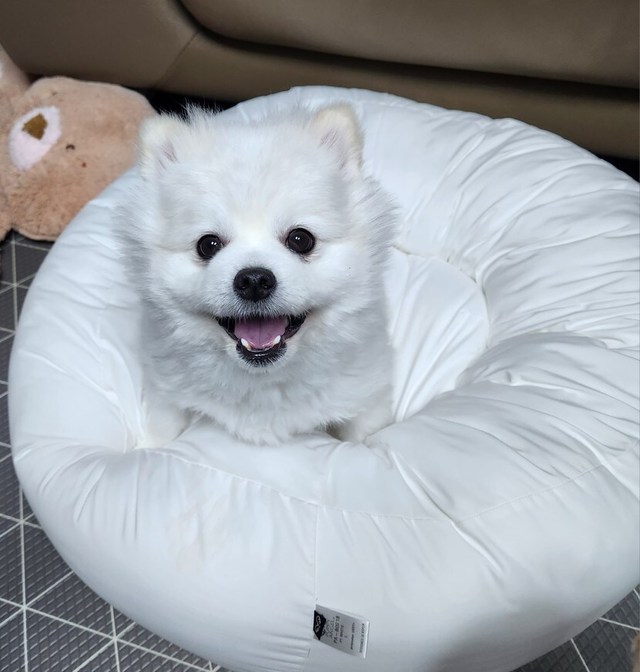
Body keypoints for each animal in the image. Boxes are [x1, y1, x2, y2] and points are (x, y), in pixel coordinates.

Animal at [119, 103, 397, 445]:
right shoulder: (167, 395)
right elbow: (162, 432)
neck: (262, 380)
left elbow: (364, 432)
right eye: (207, 245)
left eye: (301, 239)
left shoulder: (366, 396)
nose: (253, 280)